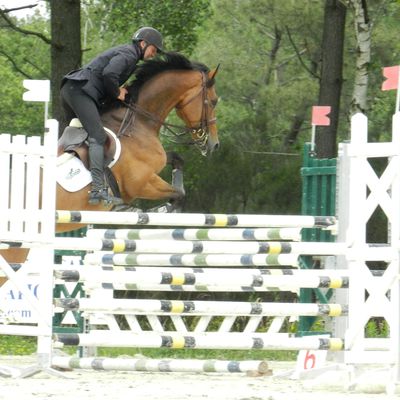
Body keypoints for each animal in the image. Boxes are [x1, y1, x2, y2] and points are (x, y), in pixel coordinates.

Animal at [0, 51, 219, 272]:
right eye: (213, 101)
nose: (214, 145)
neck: (137, 122)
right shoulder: (141, 184)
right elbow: (179, 194)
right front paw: (158, 210)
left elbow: (176, 160)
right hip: (15, 248)